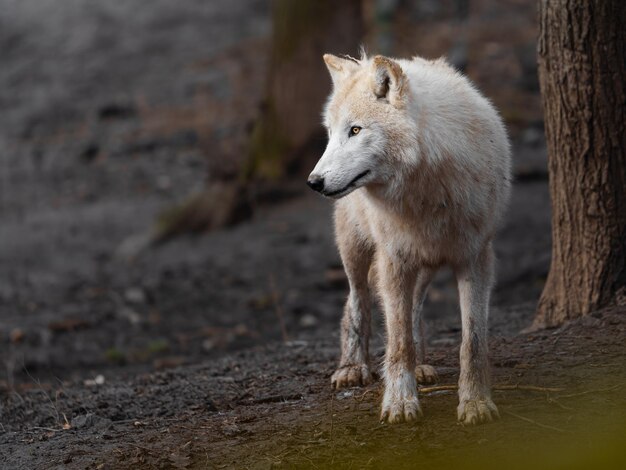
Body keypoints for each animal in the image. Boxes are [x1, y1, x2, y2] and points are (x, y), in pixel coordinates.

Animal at [304, 52, 510, 426]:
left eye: (355, 130)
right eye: (330, 133)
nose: (314, 181)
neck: (427, 187)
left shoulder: (475, 258)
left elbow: (472, 341)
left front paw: (475, 402)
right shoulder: (394, 259)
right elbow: (398, 342)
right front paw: (400, 403)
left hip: (424, 263)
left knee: (414, 307)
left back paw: (424, 365)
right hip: (355, 250)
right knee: (356, 300)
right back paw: (352, 367)